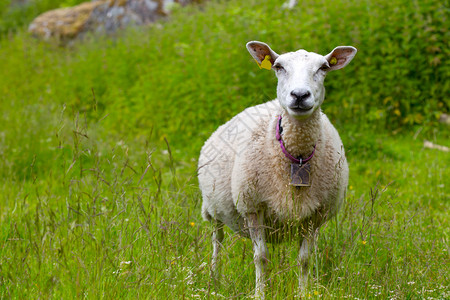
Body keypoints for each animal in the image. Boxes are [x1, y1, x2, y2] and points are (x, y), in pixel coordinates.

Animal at [197, 40, 356, 298]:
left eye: (323, 67)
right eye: (279, 66)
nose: (299, 95)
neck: (297, 157)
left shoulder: (314, 214)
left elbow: (304, 259)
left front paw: (303, 292)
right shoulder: (252, 206)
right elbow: (261, 258)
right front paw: (260, 293)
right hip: (212, 209)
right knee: (217, 241)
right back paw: (214, 279)